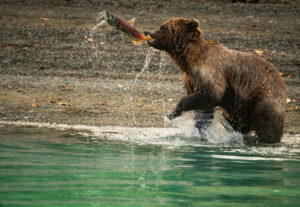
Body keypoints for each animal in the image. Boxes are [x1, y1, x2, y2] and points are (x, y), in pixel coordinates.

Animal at [145, 18, 286, 142]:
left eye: (163, 27)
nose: (147, 31)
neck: (189, 59)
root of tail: (280, 78)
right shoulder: (192, 78)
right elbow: (204, 109)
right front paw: (201, 132)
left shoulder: (210, 72)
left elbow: (211, 94)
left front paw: (173, 113)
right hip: (244, 106)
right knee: (238, 122)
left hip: (263, 98)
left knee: (268, 125)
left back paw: (268, 140)